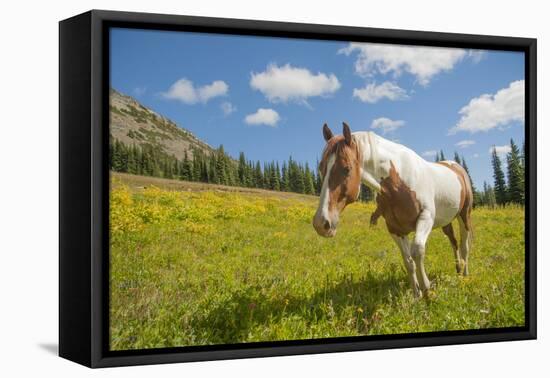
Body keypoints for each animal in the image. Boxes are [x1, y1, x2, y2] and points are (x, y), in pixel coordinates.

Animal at [314, 122, 474, 296]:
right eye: (321, 167)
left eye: (347, 168)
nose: (321, 224)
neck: (398, 184)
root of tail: (457, 167)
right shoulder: (395, 229)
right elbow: (408, 261)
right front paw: (417, 295)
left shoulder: (426, 218)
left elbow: (417, 251)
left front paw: (427, 289)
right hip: (446, 221)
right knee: (454, 242)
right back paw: (458, 270)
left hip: (464, 215)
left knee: (464, 246)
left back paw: (465, 276)